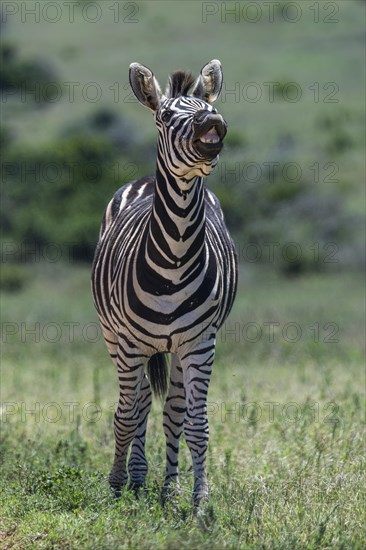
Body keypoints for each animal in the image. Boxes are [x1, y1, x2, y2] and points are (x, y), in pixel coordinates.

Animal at [92, 61, 237, 508]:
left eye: (209, 107)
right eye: (166, 115)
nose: (212, 122)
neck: (174, 255)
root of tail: (141, 179)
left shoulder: (201, 342)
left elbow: (196, 423)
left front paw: (199, 501)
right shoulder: (129, 342)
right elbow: (126, 415)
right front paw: (116, 485)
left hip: (175, 346)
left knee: (170, 409)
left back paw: (167, 489)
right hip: (115, 338)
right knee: (138, 402)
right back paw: (136, 479)